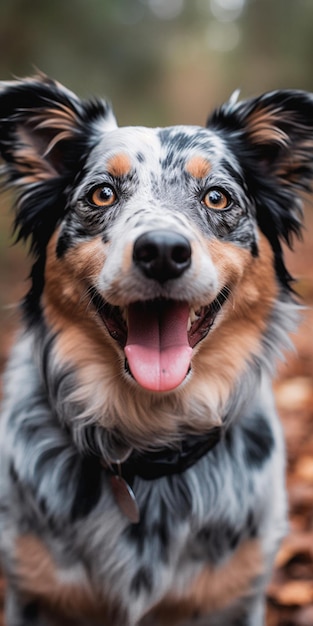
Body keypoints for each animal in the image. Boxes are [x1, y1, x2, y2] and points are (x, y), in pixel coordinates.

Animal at [0, 74, 310, 624]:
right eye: (101, 193)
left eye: (217, 198)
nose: (163, 251)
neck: (149, 433)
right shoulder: (34, 591)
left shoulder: (235, 596)